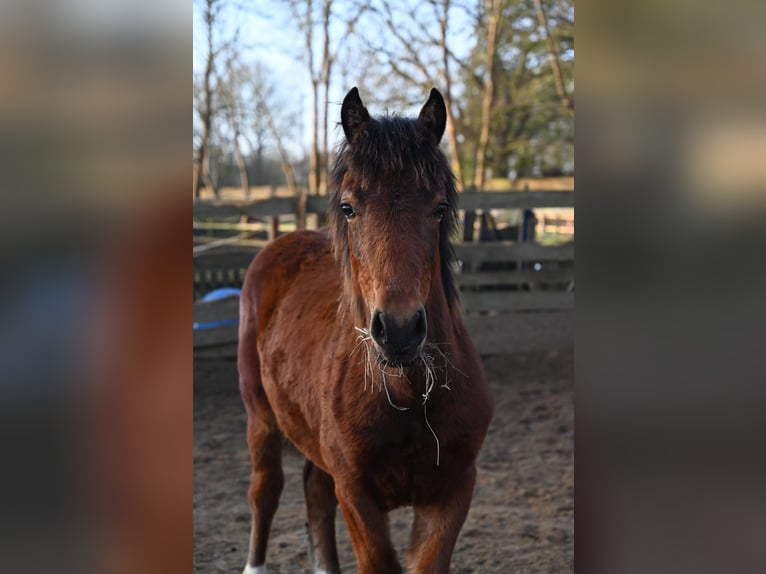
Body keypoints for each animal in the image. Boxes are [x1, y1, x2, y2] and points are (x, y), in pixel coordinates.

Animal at [238, 87, 494, 574]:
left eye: (439, 207)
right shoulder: (356, 493)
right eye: (348, 207)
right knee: (265, 492)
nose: (398, 329)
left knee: (314, 493)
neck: (407, 393)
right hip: (260, 418)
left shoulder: (453, 491)